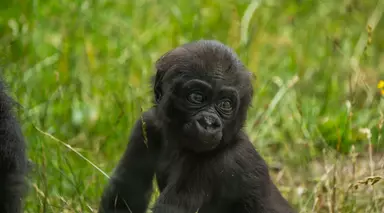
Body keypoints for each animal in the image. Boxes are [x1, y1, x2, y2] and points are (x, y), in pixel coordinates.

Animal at [97, 40, 296, 213]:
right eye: (197, 97)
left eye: (225, 104)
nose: (209, 123)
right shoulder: (147, 125)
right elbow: (125, 194)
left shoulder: (217, 163)